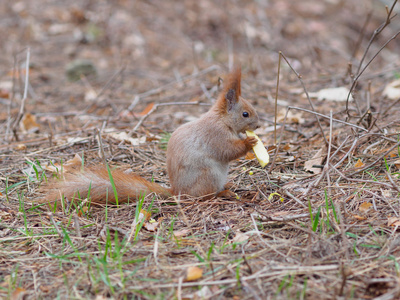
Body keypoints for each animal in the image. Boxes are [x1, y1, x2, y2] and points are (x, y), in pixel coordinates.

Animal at [40, 67, 260, 204]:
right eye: (245, 114)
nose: (258, 125)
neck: (222, 120)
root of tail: (177, 192)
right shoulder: (215, 134)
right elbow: (227, 150)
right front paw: (249, 142)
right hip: (207, 176)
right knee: (202, 197)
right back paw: (222, 193)